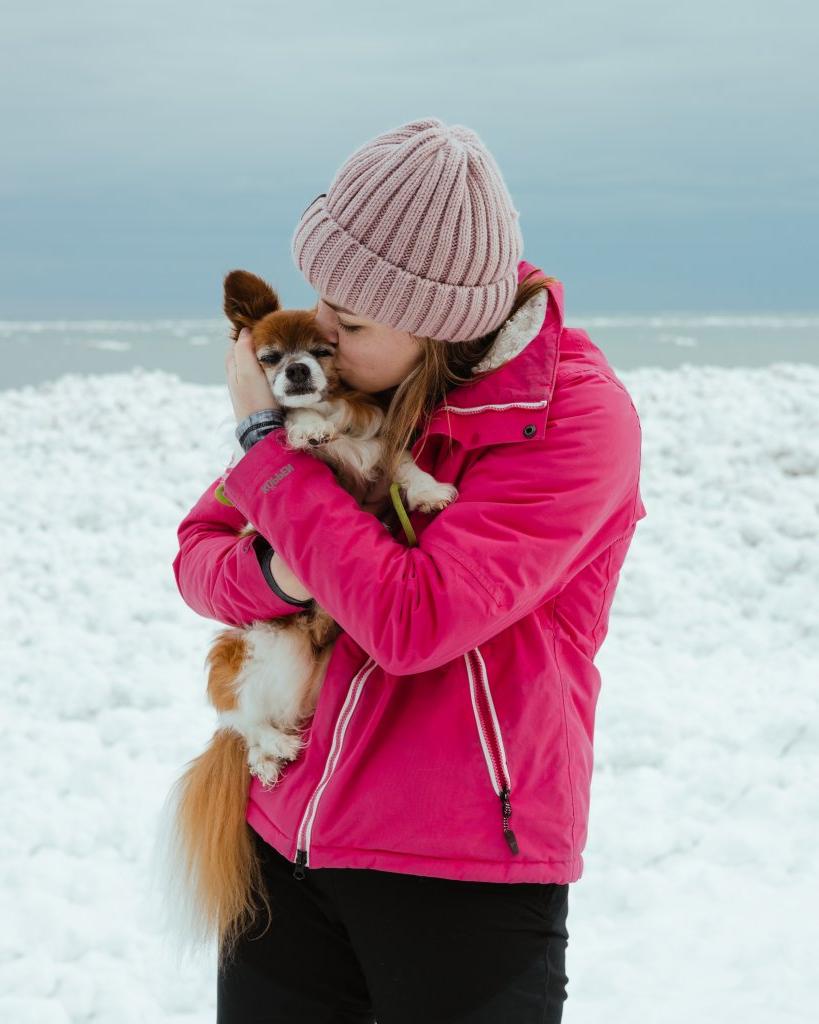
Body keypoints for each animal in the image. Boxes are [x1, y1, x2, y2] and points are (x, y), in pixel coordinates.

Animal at [156, 268, 456, 962]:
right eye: (270, 358)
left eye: (322, 351)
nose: (295, 372)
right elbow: (303, 439)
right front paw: (300, 433)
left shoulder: (378, 459)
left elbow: (400, 464)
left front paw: (429, 490)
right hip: (267, 648)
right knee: (241, 718)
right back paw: (271, 747)